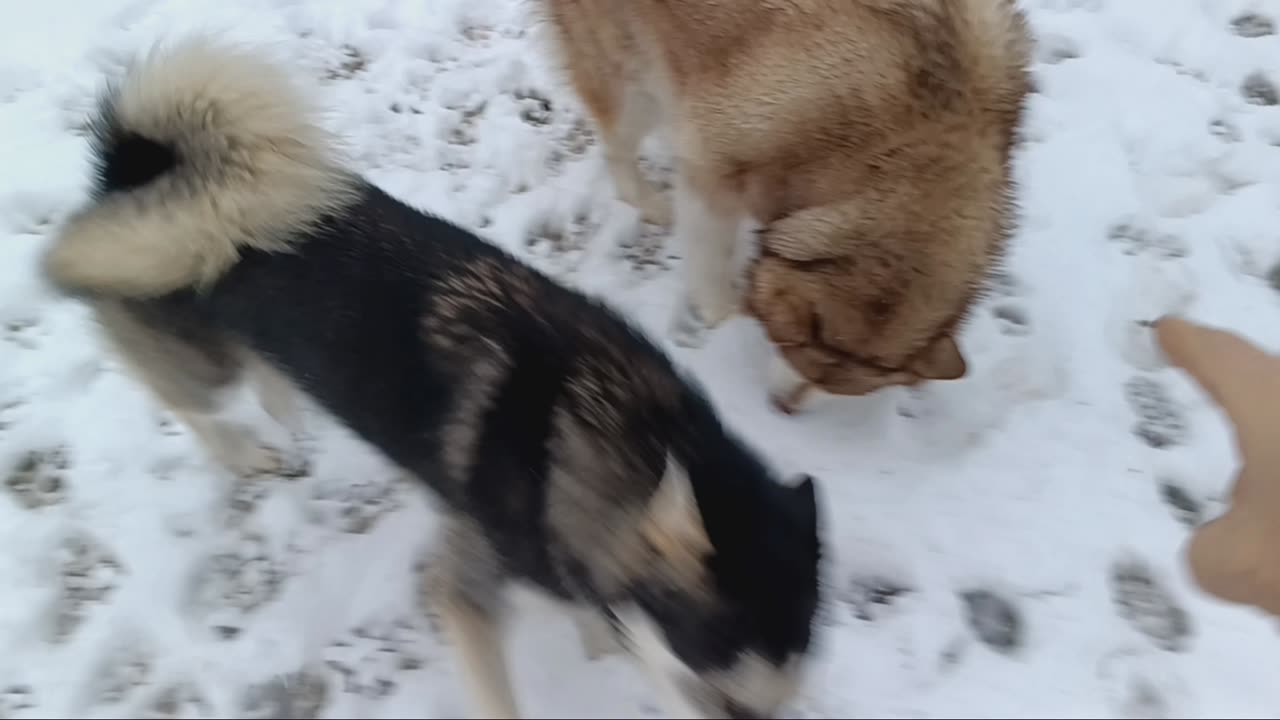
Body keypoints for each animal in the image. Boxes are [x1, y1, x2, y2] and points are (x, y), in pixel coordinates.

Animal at [537, 0, 1029, 412]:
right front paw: (724, 316)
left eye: (835, 387)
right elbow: (710, 265)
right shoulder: (710, 165)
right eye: (792, 351)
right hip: (631, 81)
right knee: (617, 145)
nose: (782, 408)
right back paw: (648, 200)